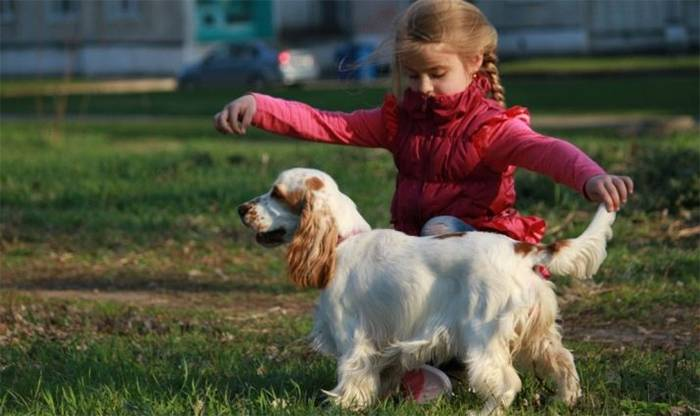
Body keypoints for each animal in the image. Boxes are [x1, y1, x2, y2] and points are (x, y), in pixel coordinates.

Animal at [239, 167, 612, 414]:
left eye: (277, 194)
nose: (242, 209)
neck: (341, 242)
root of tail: (523, 250)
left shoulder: (354, 338)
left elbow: (352, 377)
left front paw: (341, 405)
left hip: (483, 336)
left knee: (507, 383)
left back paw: (484, 411)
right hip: (539, 333)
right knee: (563, 361)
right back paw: (565, 400)